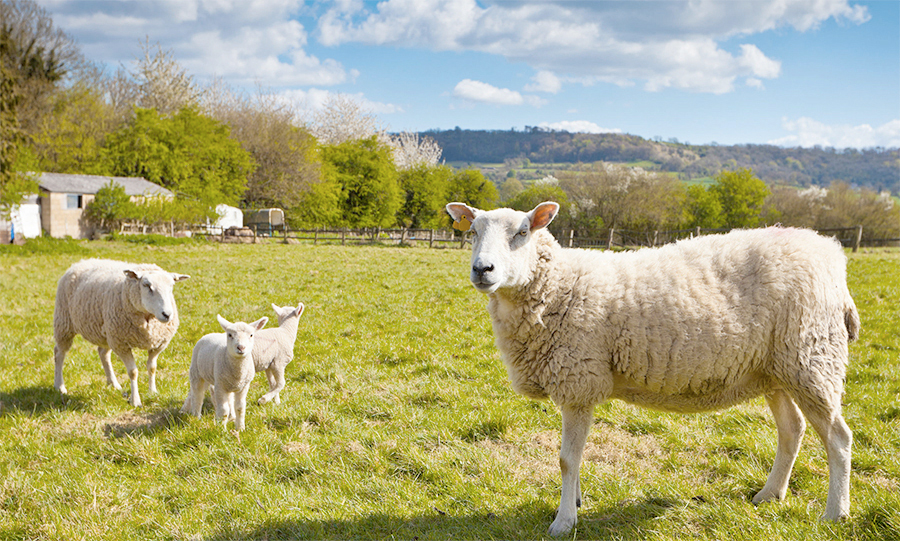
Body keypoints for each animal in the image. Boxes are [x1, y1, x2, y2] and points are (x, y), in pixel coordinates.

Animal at [53, 258, 190, 407]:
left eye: (171, 286)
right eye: (146, 285)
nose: (167, 314)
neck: (148, 317)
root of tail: (82, 261)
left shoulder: (158, 344)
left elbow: (152, 367)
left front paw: (152, 391)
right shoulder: (122, 344)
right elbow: (133, 372)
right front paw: (135, 400)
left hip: (107, 332)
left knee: (103, 353)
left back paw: (113, 384)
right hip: (64, 323)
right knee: (59, 353)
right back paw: (59, 386)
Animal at [445, 201, 860, 536]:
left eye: (522, 232)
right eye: (472, 231)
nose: (483, 269)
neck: (559, 287)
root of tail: (831, 254)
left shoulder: (579, 381)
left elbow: (566, 459)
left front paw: (563, 522)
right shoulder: (578, 386)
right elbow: (573, 458)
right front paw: (574, 503)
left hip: (812, 359)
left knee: (838, 438)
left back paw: (835, 514)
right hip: (776, 370)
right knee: (792, 430)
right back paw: (769, 494)